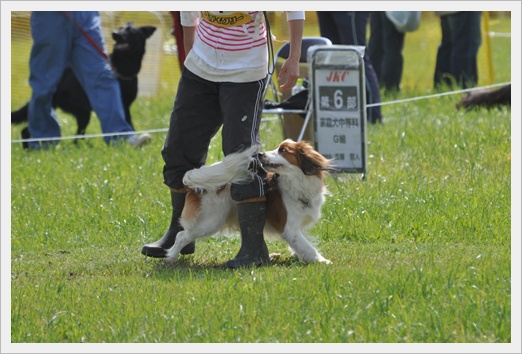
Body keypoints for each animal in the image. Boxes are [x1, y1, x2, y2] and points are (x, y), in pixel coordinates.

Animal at [10, 22, 156, 142]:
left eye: (130, 30)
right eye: (120, 28)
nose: (115, 34)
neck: (123, 66)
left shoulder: (125, 106)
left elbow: (129, 124)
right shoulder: (123, 106)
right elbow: (128, 125)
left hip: (83, 113)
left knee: (76, 136)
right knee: (27, 131)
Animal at [164, 138, 334, 266]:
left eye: (283, 150)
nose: (260, 154)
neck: (297, 184)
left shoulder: (298, 225)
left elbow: (301, 244)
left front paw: (297, 255)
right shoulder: (290, 228)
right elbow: (307, 246)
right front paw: (322, 261)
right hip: (210, 221)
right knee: (181, 235)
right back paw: (170, 257)